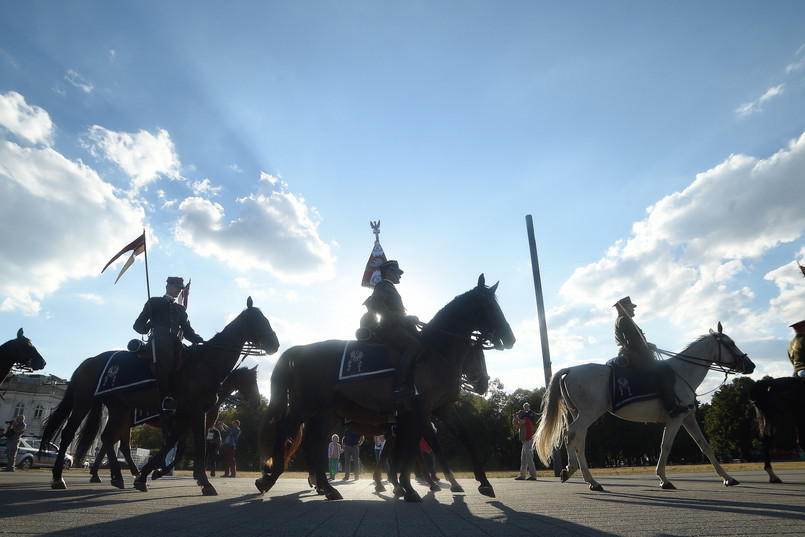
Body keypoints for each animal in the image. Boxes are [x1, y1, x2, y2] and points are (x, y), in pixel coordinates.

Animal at [76, 364, 260, 486]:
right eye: (252, 381)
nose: (257, 402)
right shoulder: (191, 427)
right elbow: (184, 451)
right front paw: (160, 471)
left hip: (124, 424)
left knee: (112, 444)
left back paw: (104, 473)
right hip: (123, 423)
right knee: (110, 443)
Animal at [254, 274, 512, 500]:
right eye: (488, 306)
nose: (510, 339)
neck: (435, 352)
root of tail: (299, 349)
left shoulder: (440, 408)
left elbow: (463, 438)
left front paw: (484, 483)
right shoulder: (419, 411)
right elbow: (412, 448)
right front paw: (409, 487)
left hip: (325, 412)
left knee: (312, 442)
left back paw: (326, 488)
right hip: (307, 405)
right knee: (285, 428)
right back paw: (270, 476)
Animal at [532, 322, 752, 490]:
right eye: (731, 343)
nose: (751, 365)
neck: (683, 372)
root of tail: (571, 370)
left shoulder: (688, 417)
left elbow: (704, 445)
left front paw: (728, 478)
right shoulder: (676, 417)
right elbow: (666, 446)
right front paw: (663, 479)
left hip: (582, 414)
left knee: (579, 441)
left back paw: (590, 480)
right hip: (589, 413)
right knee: (571, 434)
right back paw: (572, 471)